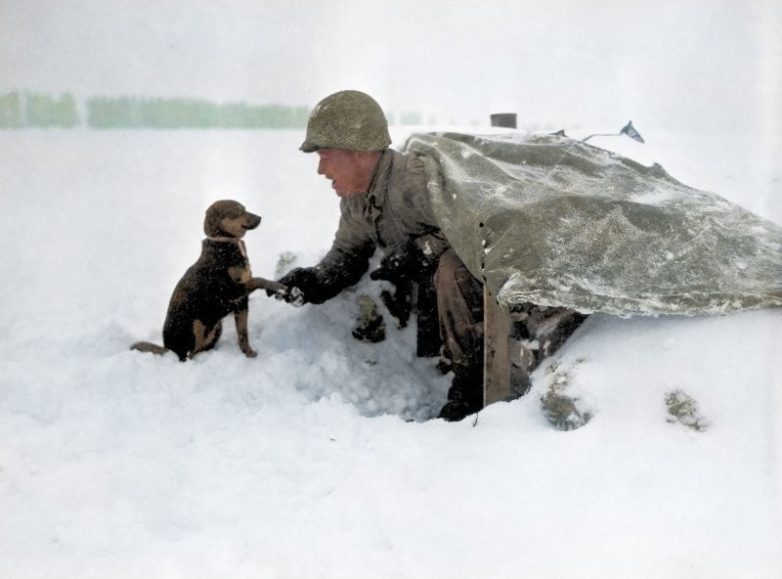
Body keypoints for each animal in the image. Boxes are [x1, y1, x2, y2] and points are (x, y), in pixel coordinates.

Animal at [132, 201, 290, 362]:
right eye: (238, 211)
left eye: (245, 209)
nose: (259, 218)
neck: (224, 244)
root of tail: (168, 348)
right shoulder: (230, 290)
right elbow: (258, 279)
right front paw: (276, 285)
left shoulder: (241, 304)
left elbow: (243, 335)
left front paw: (249, 354)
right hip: (194, 326)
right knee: (188, 354)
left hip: (216, 327)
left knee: (199, 349)